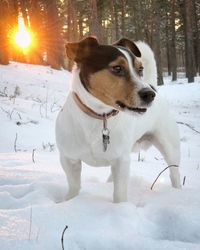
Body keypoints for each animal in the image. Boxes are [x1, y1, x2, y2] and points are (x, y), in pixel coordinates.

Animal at [55, 35, 182, 203]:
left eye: (140, 69)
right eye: (117, 68)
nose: (149, 94)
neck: (99, 116)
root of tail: (152, 85)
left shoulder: (121, 161)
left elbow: (120, 193)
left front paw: (119, 207)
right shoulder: (69, 159)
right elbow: (74, 186)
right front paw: (69, 201)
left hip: (170, 148)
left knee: (174, 174)